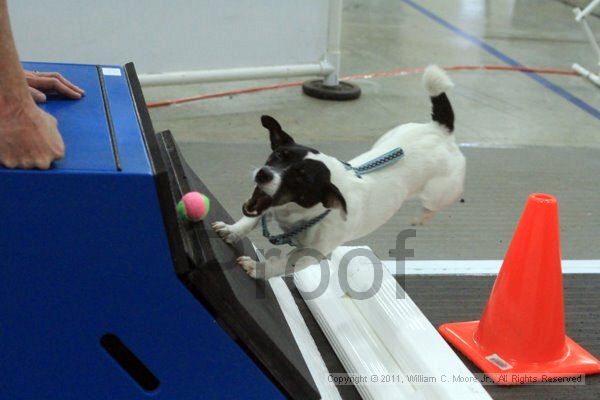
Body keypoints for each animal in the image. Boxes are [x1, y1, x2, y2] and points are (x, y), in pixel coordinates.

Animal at [213, 65, 466, 278]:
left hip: (441, 192)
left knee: (433, 205)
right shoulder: (264, 206)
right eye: (279, 155)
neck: (299, 215)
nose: (263, 174)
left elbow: (281, 264)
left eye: (301, 178)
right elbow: (249, 220)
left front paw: (256, 268)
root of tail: (440, 130)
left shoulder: (309, 255)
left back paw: (421, 217)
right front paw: (231, 230)